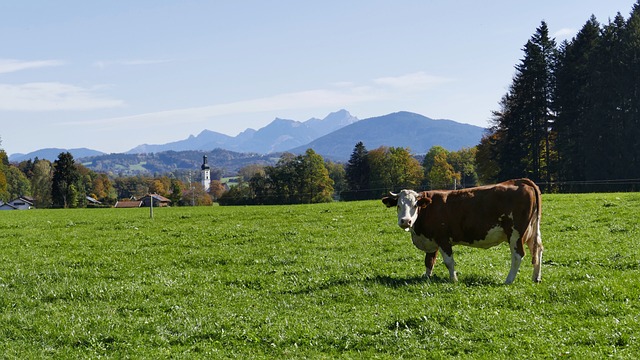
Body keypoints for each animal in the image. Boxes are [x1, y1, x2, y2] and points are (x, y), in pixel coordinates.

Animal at [382, 178, 544, 284]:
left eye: (415, 205)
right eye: (398, 205)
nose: (405, 221)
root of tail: (520, 181)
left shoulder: (443, 239)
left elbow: (449, 262)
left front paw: (454, 279)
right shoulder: (432, 240)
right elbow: (429, 261)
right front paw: (426, 278)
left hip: (515, 234)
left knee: (518, 255)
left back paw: (508, 280)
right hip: (531, 232)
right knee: (537, 250)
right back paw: (536, 277)